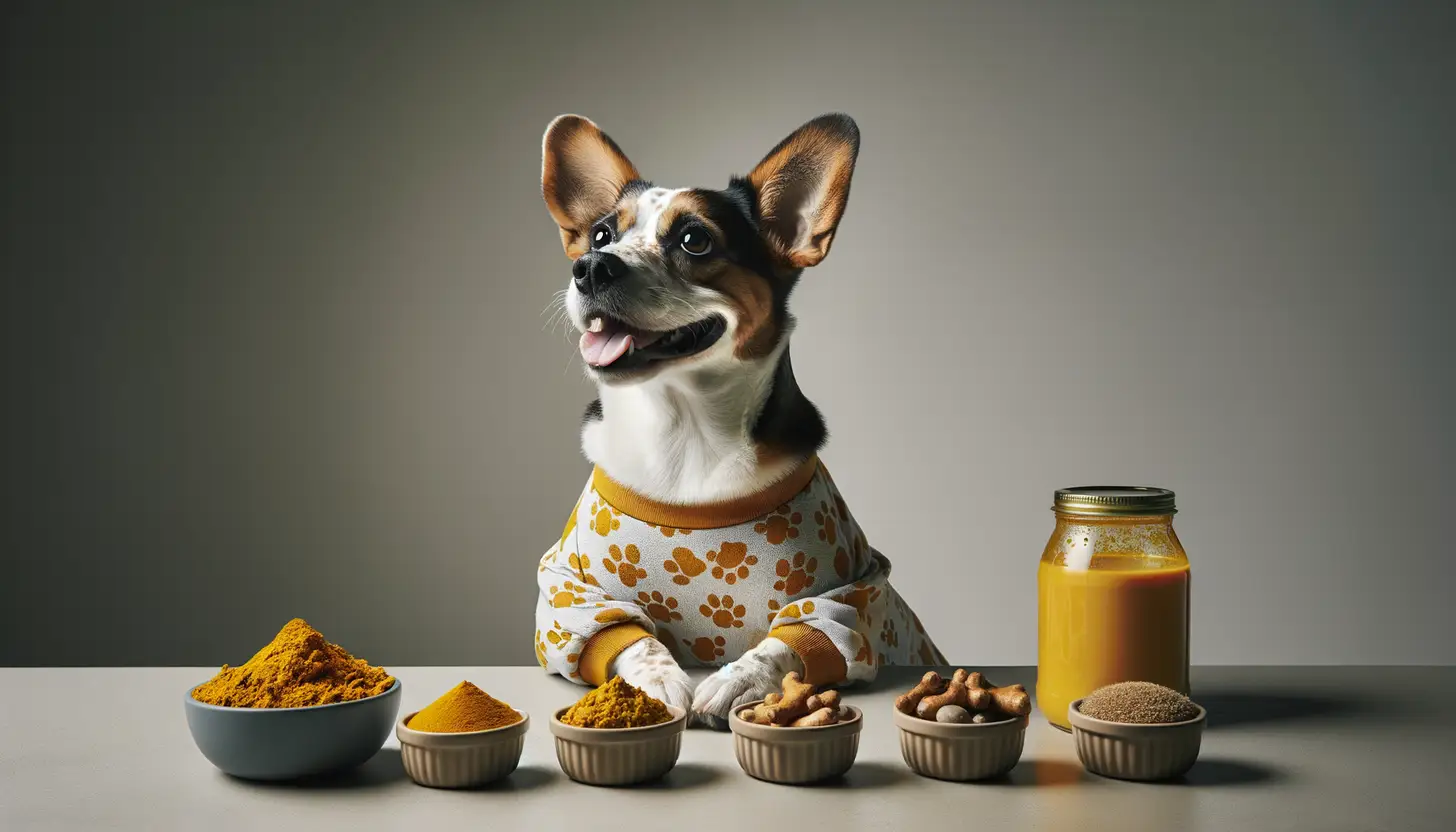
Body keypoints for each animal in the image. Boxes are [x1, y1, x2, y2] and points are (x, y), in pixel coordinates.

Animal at [535, 113, 943, 725]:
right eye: (603, 234)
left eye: (694, 239)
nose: (590, 267)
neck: (684, 439)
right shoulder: (566, 594)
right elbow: (627, 632)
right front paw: (657, 682)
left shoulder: (852, 594)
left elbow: (786, 638)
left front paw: (736, 680)